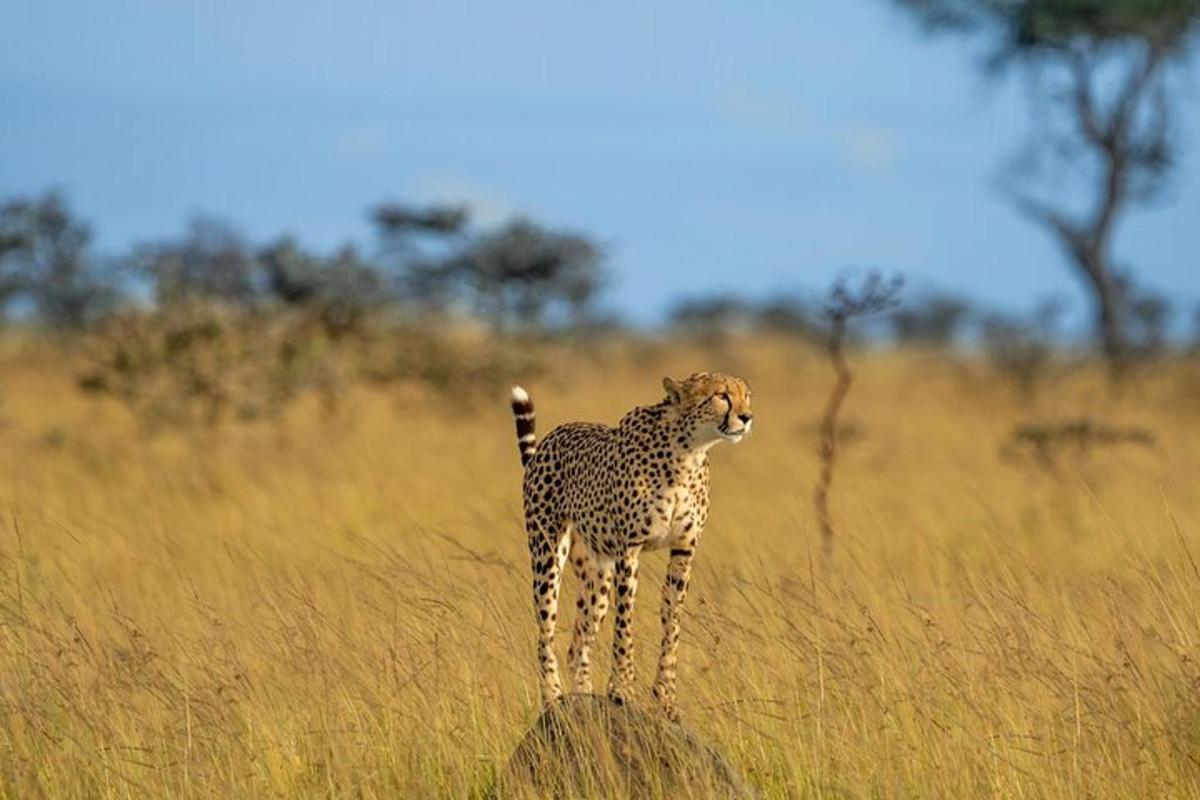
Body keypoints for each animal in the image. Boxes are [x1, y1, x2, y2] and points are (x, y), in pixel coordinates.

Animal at [506, 371, 748, 724]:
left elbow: (672, 623)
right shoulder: (629, 550)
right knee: (545, 633)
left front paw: (666, 699)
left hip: (597, 579)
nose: (746, 417)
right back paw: (553, 698)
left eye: (747, 395)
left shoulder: (684, 550)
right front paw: (621, 689)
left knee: (577, 643)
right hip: (547, 556)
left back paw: (583, 697)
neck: (687, 452)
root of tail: (553, 437)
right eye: (721, 396)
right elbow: (625, 624)